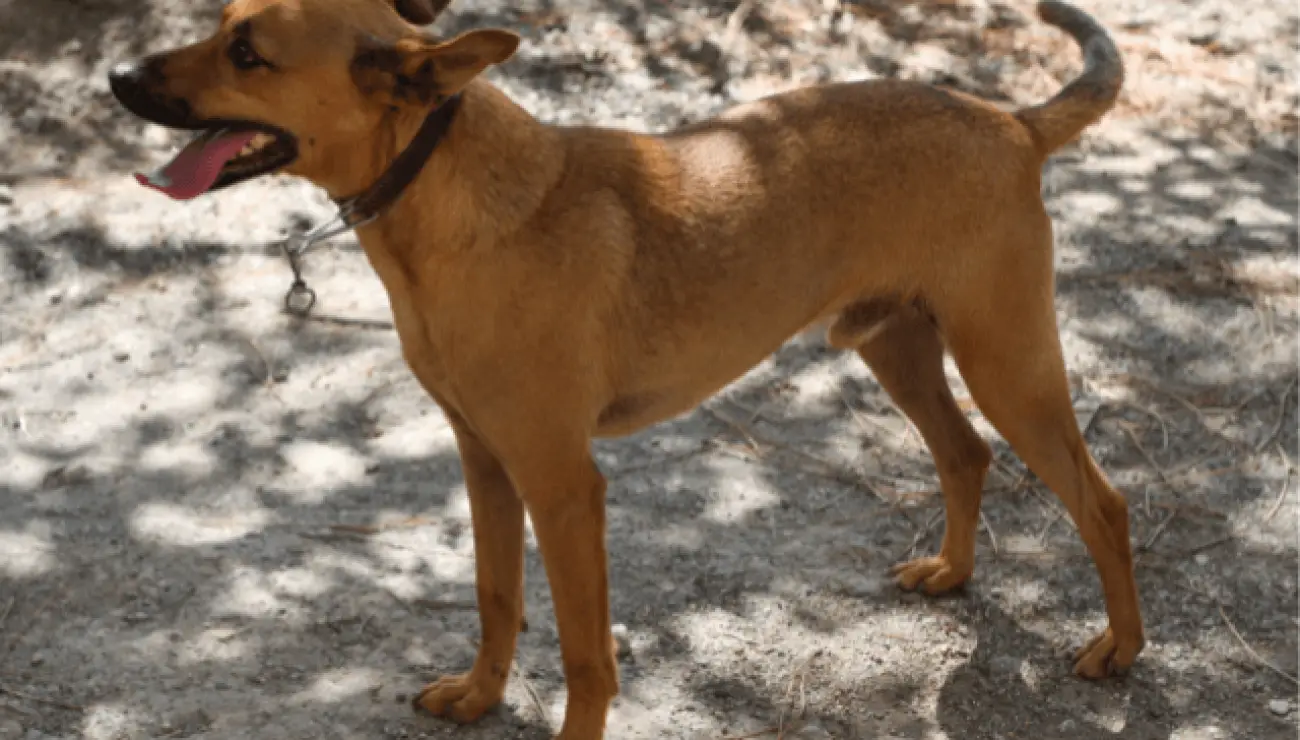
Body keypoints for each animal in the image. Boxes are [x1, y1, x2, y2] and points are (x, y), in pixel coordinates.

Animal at [111, 1, 1144, 733]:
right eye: (220, 24)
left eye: (249, 54)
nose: (116, 74)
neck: (443, 192)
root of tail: (1010, 121)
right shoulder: (486, 462)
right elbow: (495, 597)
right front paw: (480, 698)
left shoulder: (564, 485)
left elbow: (582, 655)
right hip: (896, 347)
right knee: (965, 454)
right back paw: (955, 574)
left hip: (1006, 363)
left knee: (1102, 501)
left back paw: (1120, 649)